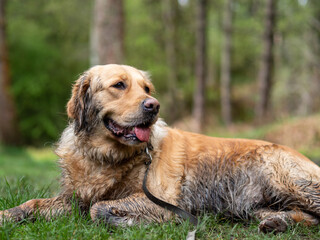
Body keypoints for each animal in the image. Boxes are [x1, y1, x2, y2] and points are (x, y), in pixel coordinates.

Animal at [0, 64, 320, 232]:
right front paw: (7, 214)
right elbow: (33, 204)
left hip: (285, 176)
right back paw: (277, 222)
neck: (106, 156)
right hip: (258, 203)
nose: (153, 106)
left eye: (146, 89)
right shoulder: (71, 197)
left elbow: (98, 208)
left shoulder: (161, 199)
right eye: (119, 85)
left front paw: (123, 220)